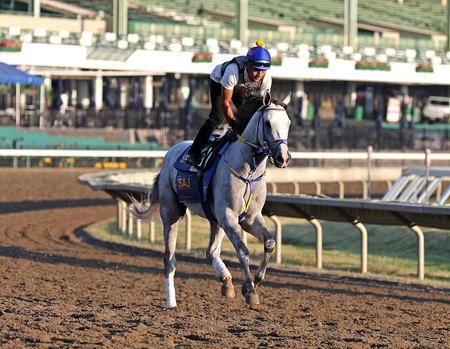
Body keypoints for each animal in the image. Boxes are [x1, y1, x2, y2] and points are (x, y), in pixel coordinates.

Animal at [130, 91, 292, 306]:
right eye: (267, 123)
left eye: (288, 123)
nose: (283, 157)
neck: (248, 171)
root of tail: (170, 152)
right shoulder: (228, 215)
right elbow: (243, 250)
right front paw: (249, 290)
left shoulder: (250, 218)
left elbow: (269, 243)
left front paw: (256, 280)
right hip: (171, 213)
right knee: (169, 259)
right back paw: (171, 301)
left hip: (216, 219)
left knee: (211, 251)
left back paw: (226, 281)